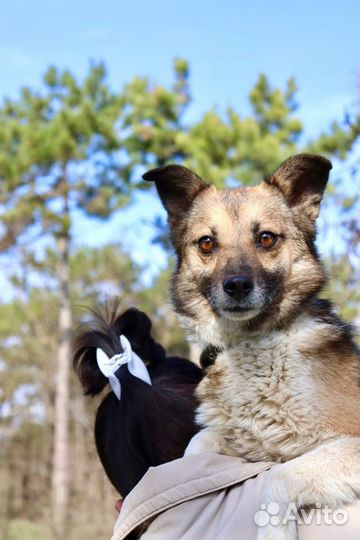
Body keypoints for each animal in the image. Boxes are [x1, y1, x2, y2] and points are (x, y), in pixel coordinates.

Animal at [144, 153, 360, 540]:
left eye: (266, 238)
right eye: (207, 243)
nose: (237, 286)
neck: (253, 342)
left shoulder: (348, 442)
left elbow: (279, 477)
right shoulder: (244, 445)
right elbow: (197, 446)